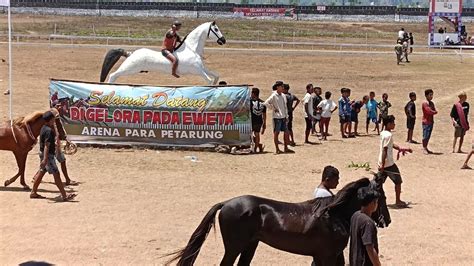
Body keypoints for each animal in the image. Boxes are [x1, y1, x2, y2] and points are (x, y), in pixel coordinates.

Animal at [166, 176, 388, 264]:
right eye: (383, 198)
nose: (386, 221)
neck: (332, 216)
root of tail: (226, 203)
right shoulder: (328, 256)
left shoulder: (323, 255)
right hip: (234, 247)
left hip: (250, 245)